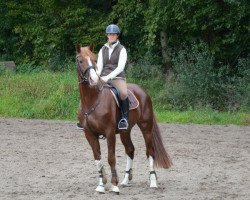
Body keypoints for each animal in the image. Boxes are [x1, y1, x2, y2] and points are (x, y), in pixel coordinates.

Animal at [75, 45, 171, 194]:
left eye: (94, 59)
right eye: (80, 61)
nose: (93, 79)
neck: (92, 100)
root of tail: (142, 91)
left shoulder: (109, 132)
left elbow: (111, 158)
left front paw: (114, 185)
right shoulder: (89, 134)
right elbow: (98, 159)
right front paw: (101, 185)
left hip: (146, 128)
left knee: (150, 152)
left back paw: (153, 182)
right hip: (125, 131)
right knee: (130, 149)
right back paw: (126, 180)